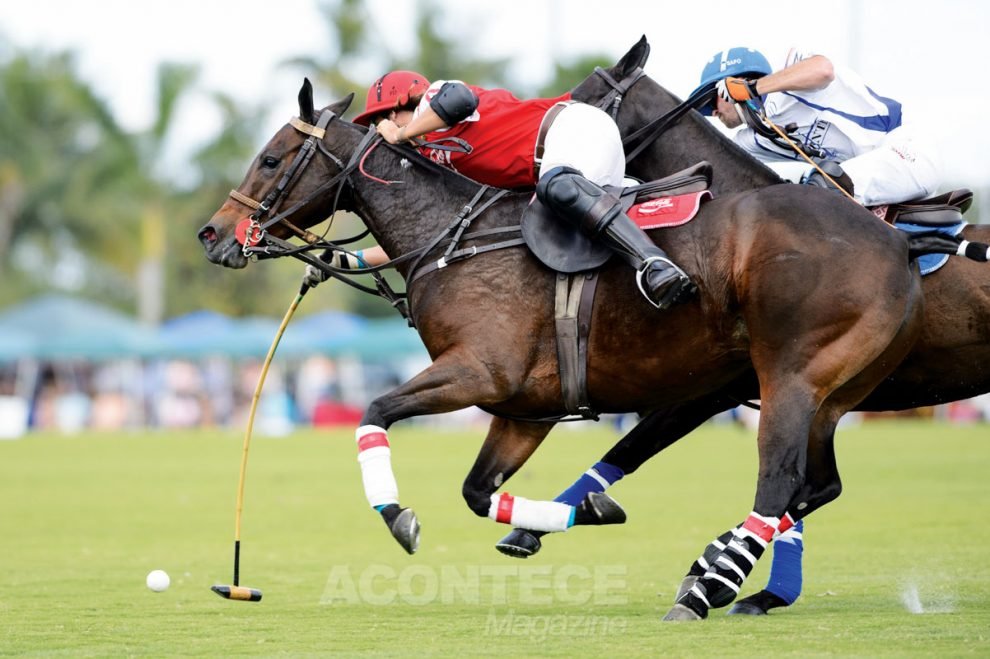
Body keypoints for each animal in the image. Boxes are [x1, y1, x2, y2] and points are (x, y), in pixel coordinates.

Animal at [200, 80, 928, 620]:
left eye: (271, 159)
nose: (213, 234)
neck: (449, 238)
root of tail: (896, 241)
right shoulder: (525, 407)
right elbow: (477, 490)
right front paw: (584, 511)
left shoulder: (476, 372)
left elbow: (373, 411)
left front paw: (398, 514)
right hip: (829, 390)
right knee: (815, 482)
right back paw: (718, 573)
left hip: (791, 374)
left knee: (778, 479)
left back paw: (707, 587)